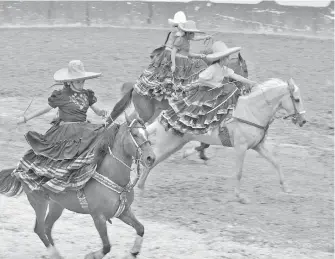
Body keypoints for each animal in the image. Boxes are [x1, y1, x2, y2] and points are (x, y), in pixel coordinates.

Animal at [0, 114, 156, 259]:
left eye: (147, 134)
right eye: (135, 134)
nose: (151, 158)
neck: (113, 177)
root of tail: (18, 169)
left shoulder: (124, 211)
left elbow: (141, 228)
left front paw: (134, 252)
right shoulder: (98, 217)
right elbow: (107, 246)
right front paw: (91, 256)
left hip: (57, 205)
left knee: (47, 227)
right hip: (39, 202)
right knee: (39, 229)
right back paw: (54, 254)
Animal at [107, 53, 249, 161]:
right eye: (246, 70)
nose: (247, 89)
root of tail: (135, 88)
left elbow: (205, 141)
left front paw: (201, 154)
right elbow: (204, 143)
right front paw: (190, 153)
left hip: (151, 113)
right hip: (146, 113)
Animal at [136, 78, 308, 204]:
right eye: (297, 99)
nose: (303, 121)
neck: (252, 111)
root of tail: (163, 116)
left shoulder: (259, 146)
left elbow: (276, 163)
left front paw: (286, 188)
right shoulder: (241, 147)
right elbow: (239, 172)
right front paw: (240, 197)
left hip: (175, 145)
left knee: (153, 162)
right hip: (167, 145)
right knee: (150, 161)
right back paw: (140, 189)